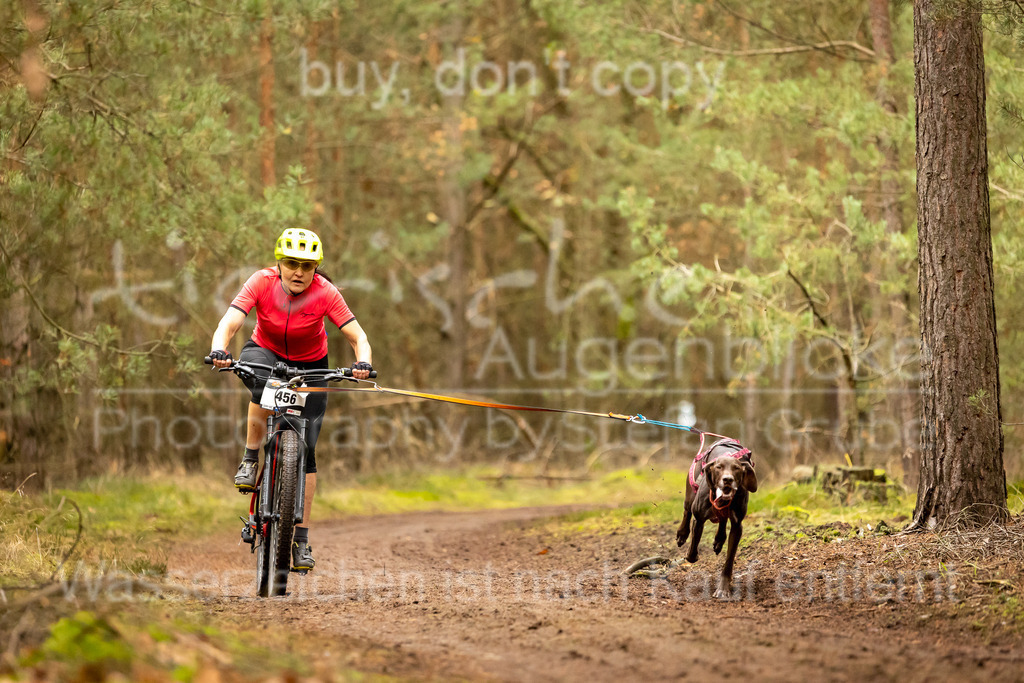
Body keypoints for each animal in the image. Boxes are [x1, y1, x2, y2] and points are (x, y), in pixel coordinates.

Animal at [675, 440, 757, 593]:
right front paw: (691, 555)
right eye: (719, 467)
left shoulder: (737, 526)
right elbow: (693, 547)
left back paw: (719, 540)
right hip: (690, 493)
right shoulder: (699, 518)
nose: (728, 480)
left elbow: (729, 559)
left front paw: (723, 589)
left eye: (737, 468)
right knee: (687, 511)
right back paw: (682, 534)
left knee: (723, 520)